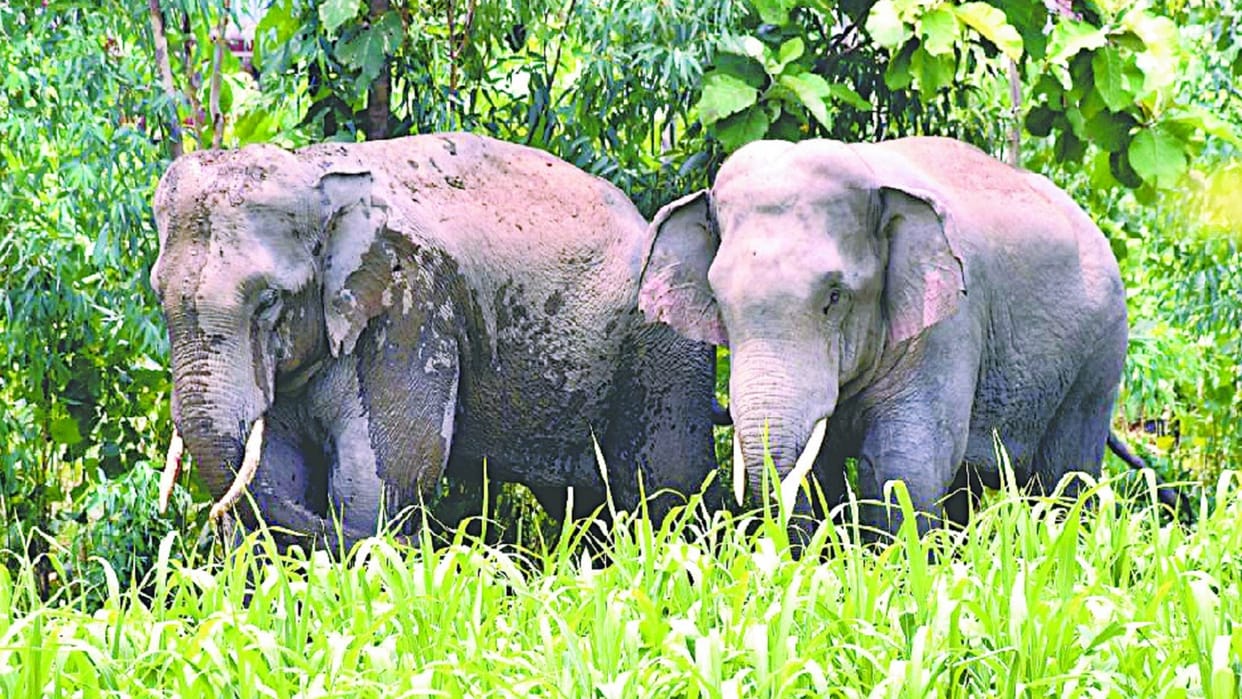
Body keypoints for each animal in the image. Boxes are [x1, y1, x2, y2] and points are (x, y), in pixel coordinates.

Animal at [150, 132, 718, 548]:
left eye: (268, 300)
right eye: (158, 293)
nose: (454, 546)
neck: (316, 174)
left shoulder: (412, 308)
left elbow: (378, 481)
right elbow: (277, 472)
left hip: (662, 349)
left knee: (668, 492)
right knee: (586, 507)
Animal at [639, 136, 1134, 538]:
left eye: (834, 296)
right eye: (720, 301)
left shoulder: (950, 327)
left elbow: (905, 466)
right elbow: (822, 469)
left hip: (1099, 357)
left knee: (1066, 480)